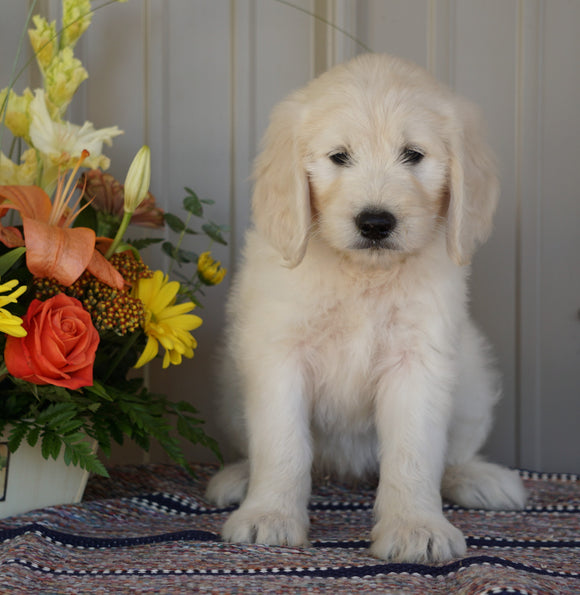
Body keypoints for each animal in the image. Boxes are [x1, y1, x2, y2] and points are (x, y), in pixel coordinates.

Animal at [207, 53, 524, 564]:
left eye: (413, 155)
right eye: (339, 157)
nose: (375, 222)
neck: (364, 275)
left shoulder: (418, 358)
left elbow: (415, 451)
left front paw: (416, 526)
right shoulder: (279, 354)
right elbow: (282, 443)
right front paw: (269, 516)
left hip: (473, 373)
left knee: (453, 454)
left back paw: (477, 477)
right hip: (230, 386)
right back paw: (239, 477)